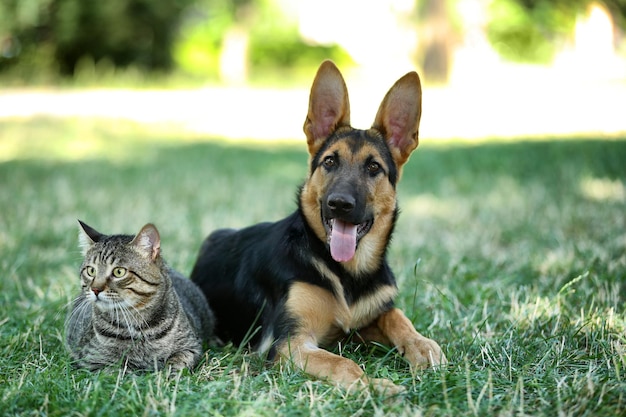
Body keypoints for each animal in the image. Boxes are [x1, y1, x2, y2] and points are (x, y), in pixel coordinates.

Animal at [63, 221, 214, 370]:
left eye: (119, 272)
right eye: (91, 271)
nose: (95, 289)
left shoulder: (191, 347)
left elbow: (176, 364)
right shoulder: (93, 361)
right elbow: (117, 370)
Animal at [190, 59, 444, 394]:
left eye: (373, 166)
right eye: (330, 162)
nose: (340, 203)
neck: (347, 274)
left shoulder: (361, 322)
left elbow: (395, 315)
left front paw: (422, 345)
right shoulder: (289, 344)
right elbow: (343, 363)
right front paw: (375, 386)